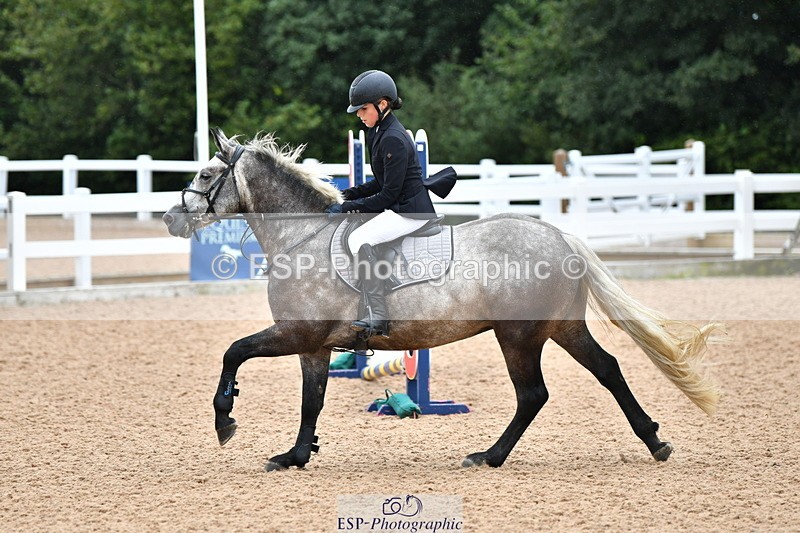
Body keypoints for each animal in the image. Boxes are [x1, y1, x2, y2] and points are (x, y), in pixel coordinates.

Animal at [163, 128, 720, 472]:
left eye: (207, 174)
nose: (171, 219)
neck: (302, 238)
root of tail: (560, 237)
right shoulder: (314, 346)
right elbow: (311, 399)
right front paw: (296, 455)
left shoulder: (297, 333)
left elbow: (234, 352)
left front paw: (225, 420)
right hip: (561, 327)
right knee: (607, 370)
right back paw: (655, 441)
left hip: (518, 336)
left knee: (533, 394)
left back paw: (488, 456)